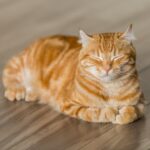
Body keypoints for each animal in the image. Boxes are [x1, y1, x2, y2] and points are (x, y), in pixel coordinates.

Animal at [2, 24, 145, 124]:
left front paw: (123, 114)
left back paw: (32, 93)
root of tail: (38, 39)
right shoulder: (69, 104)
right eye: (96, 58)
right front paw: (110, 112)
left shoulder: (142, 103)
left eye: (117, 57)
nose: (107, 68)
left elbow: (133, 112)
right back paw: (17, 89)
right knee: (8, 72)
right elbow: (93, 112)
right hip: (21, 64)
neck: (109, 88)